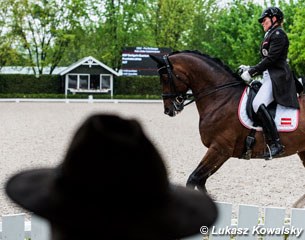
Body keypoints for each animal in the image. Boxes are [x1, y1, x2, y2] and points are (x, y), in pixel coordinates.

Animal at [149, 50, 304, 193]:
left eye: (164, 77)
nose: (168, 110)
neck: (221, 97)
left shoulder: (220, 149)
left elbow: (193, 179)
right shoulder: (219, 151)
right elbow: (200, 181)